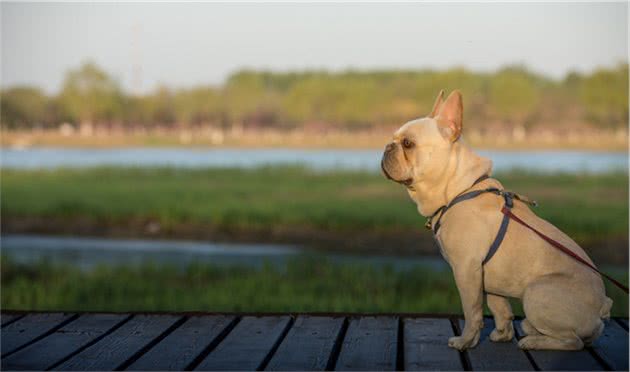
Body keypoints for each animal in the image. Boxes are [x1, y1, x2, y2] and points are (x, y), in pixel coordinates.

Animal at [382, 91, 616, 352]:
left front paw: (465, 341)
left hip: (536, 292)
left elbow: (472, 311)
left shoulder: (466, 270)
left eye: (408, 144)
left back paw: (532, 341)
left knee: (573, 341)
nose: (387, 146)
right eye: (395, 140)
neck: (459, 189)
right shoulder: (486, 276)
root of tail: (602, 307)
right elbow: (499, 307)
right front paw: (502, 334)